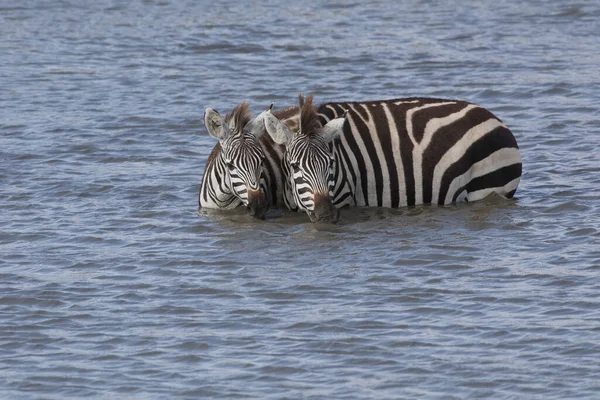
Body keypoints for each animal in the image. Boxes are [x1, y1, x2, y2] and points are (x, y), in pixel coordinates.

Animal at [262, 95, 520, 223]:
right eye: (295, 166)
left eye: (331, 164)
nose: (326, 214)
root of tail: (496, 120)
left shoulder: (344, 198)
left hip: (486, 188)